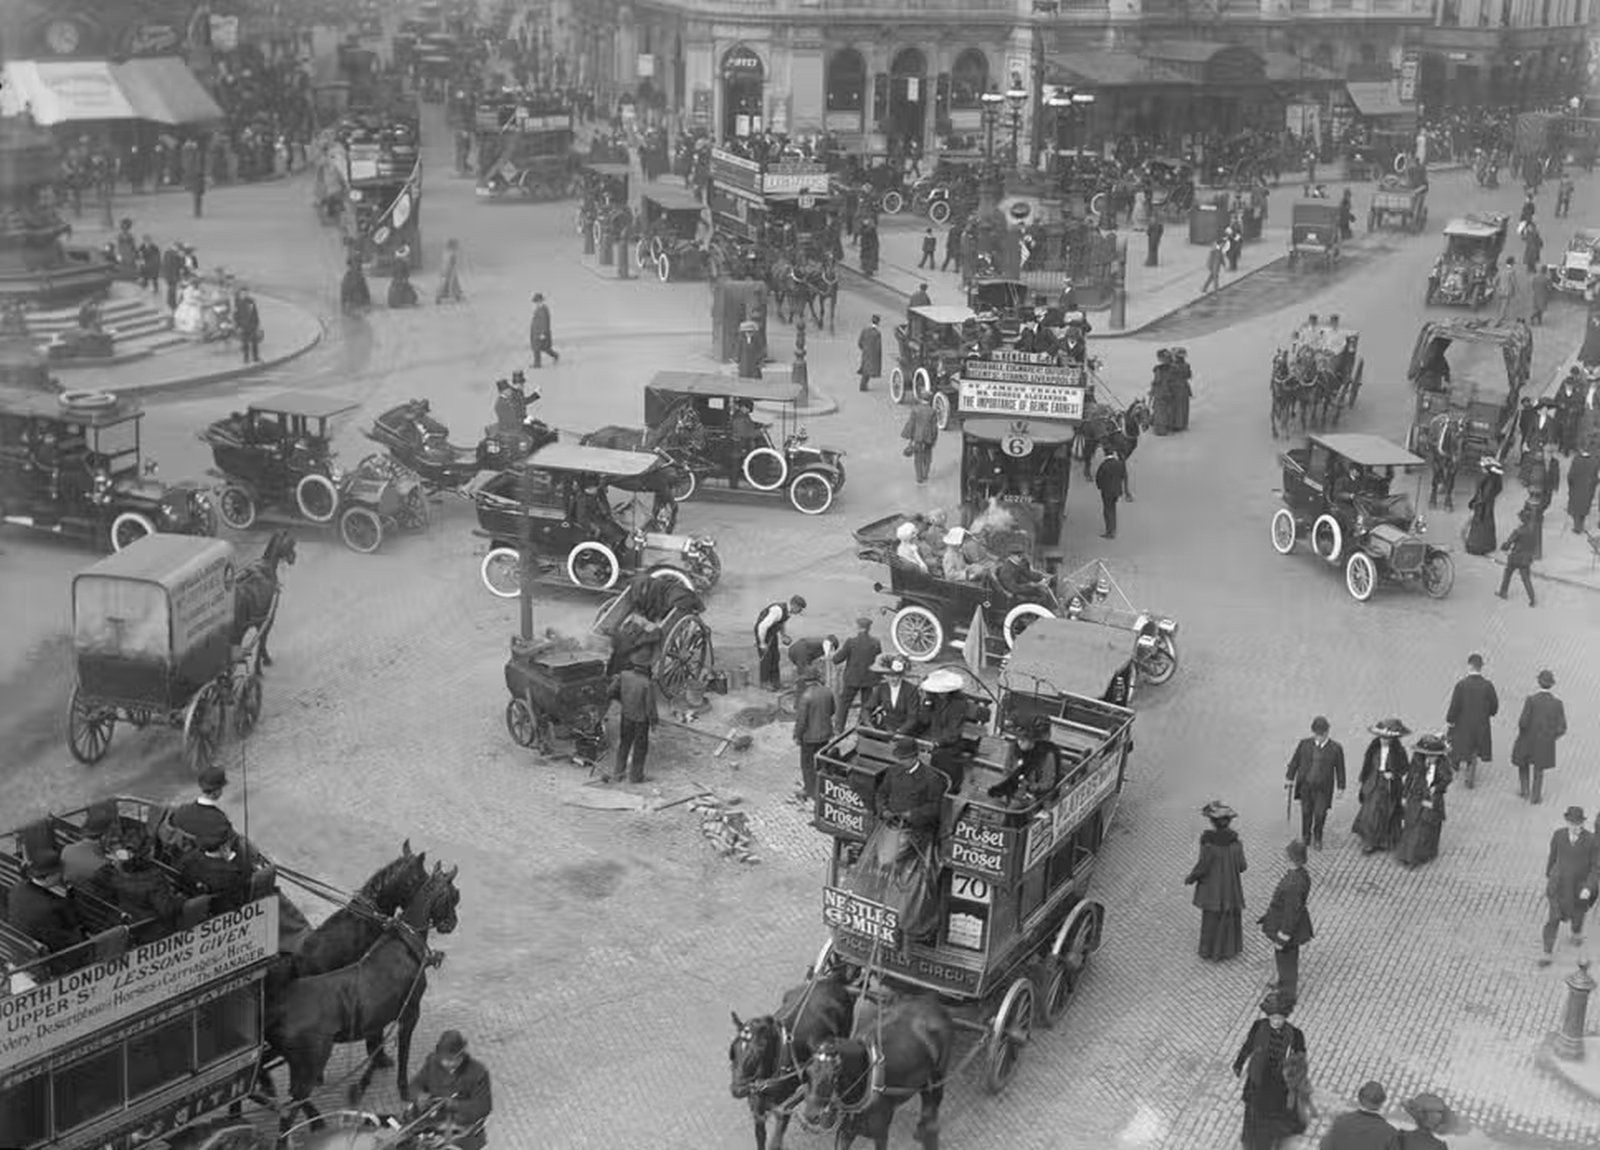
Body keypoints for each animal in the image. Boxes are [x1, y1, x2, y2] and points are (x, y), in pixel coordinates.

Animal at [232, 534, 294, 671]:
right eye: (290, 543)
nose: (294, 557)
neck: (266, 565)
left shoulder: (261, 619)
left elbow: (261, 639)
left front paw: (262, 661)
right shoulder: (268, 617)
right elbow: (262, 639)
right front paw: (261, 664)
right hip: (238, 632)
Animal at [262, 857, 460, 1126]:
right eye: (453, 895)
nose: (452, 923)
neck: (403, 945)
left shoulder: (378, 1017)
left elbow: (375, 1046)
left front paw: (367, 1077)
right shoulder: (410, 1013)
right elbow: (402, 1054)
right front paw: (402, 1089)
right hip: (308, 1064)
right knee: (292, 1105)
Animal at [732, 972, 864, 1150]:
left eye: (759, 1049)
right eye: (733, 1048)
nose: (737, 1090)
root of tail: (834, 982)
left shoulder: (784, 1110)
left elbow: (775, 1143)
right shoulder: (758, 1112)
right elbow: (760, 1138)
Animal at [796, 998, 947, 1150]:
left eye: (834, 1076)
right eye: (807, 1073)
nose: (811, 1115)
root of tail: (933, 1003)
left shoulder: (880, 1135)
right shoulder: (846, 1132)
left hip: (937, 1078)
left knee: (933, 1102)